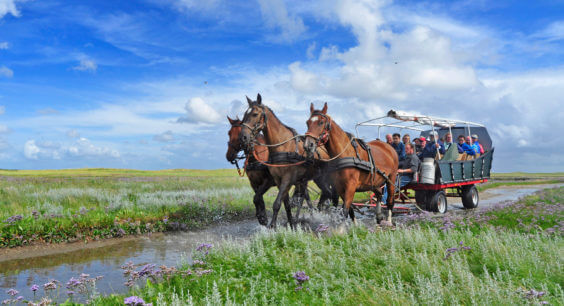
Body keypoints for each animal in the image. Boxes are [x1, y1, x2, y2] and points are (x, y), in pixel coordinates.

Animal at [238, 94, 334, 228]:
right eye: (244, 114)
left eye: (255, 114)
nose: (243, 137)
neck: (282, 146)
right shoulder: (278, 180)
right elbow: (285, 203)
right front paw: (291, 223)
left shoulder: (287, 179)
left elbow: (277, 203)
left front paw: (272, 226)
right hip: (312, 179)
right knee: (318, 195)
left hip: (322, 178)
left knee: (328, 194)